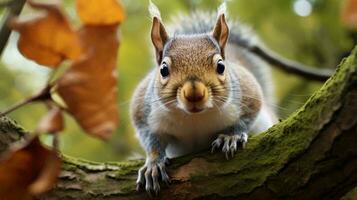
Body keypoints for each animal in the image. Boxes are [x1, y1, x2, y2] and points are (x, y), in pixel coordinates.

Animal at [129, 1, 276, 194]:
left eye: (221, 66)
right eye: (163, 70)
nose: (195, 94)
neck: (195, 118)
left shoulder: (249, 92)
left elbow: (246, 117)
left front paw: (231, 136)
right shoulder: (142, 110)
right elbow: (150, 137)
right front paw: (153, 163)